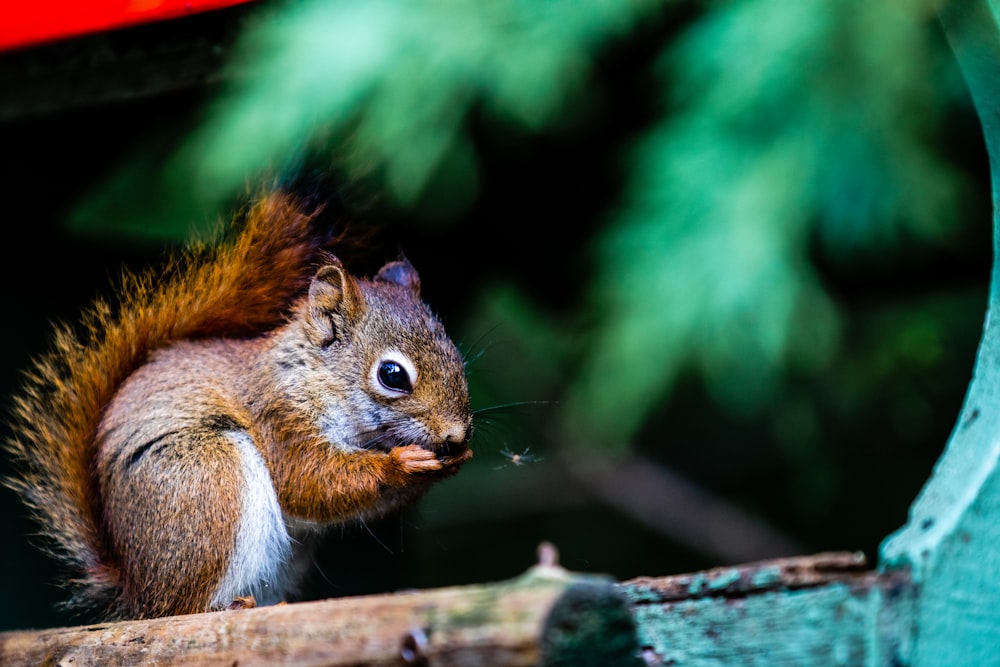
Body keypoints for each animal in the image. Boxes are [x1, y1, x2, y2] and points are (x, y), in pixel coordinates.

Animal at [4, 181, 472, 620]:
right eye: (392, 375)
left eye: (457, 355)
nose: (455, 435)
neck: (314, 376)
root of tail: (136, 588)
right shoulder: (278, 417)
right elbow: (311, 481)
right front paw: (401, 463)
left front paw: (453, 460)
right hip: (208, 478)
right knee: (180, 608)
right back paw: (224, 607)